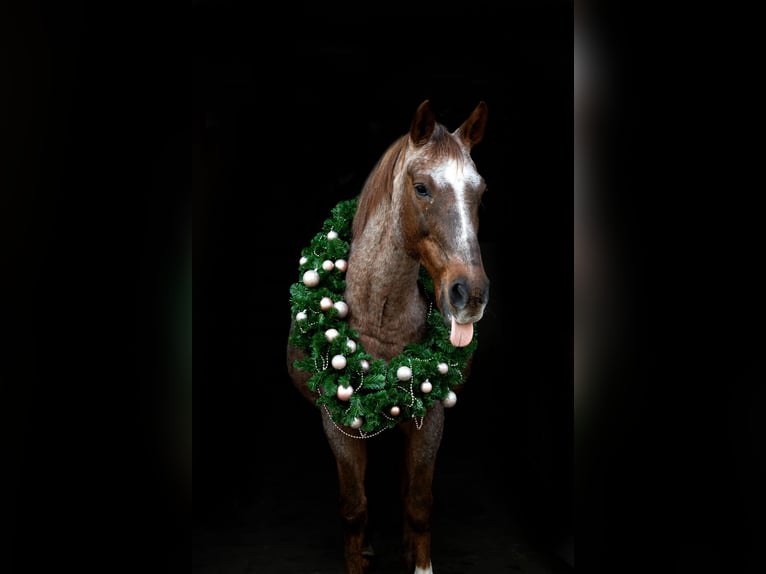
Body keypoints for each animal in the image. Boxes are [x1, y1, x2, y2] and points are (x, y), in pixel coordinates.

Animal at [286, 99, 490, 574]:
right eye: (422, 188)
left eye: (480, 191)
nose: (470, 294)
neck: (380, 316)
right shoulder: (336, 426)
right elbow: (354, 508)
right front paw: (359, 554)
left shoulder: (430, 420)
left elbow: (417, 504)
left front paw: (419, 561)